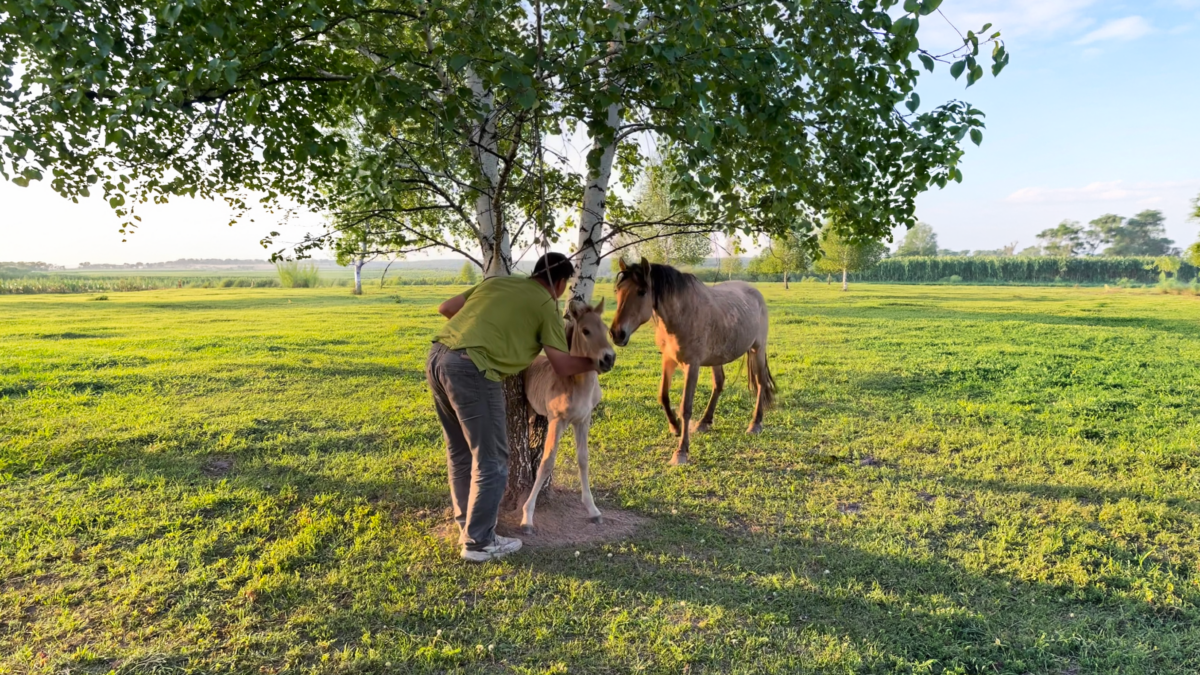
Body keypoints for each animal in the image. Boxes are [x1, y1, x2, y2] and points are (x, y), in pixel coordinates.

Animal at [520, 298, 616, 533]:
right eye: (585, 331)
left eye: (606, 329)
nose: (609, 359)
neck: (578, 385)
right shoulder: (557, 421)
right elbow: (547, 462)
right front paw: (527, 515)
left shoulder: (583, 420)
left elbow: (583, 459)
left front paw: (593, 509)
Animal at [609, 258, 775, 465]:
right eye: (618, 290)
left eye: (641, 292)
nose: (617, 334)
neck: (681, 314)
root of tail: (755, 293)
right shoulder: (668, 360)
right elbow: (663, 395)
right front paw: (675, 427)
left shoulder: (692, 365)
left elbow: (686, 407)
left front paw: (681, 451)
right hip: (718, 357)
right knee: (719, 384)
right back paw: (704, 422)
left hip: (757, 349)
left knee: (761, 383)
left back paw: (755, 424)